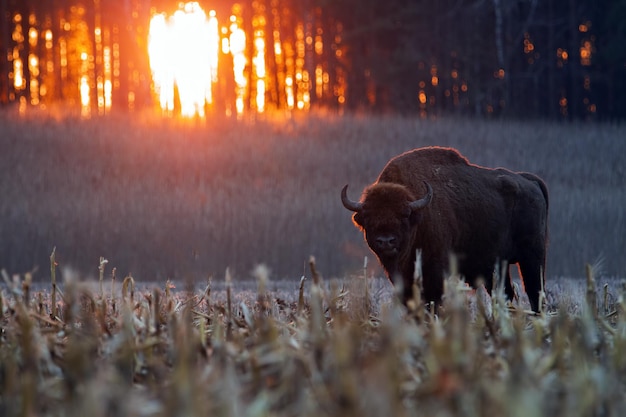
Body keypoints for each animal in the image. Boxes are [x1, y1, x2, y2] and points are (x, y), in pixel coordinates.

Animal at [342, 146, 544, 312]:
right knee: (506, 294)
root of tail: (530, 181)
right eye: (368, 216)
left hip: (532, 259)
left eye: (404, 215)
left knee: (534, 292)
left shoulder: (436, 273)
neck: (419, 217)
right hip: (498, 267)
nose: (386, 241)